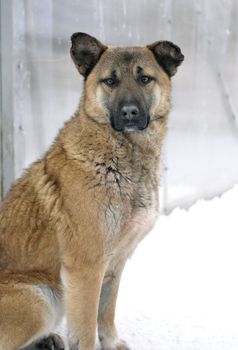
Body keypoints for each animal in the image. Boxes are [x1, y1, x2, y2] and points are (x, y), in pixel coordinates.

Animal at [0, 33, 184, 350]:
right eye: (109, 81)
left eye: (145, 78)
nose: (129, 113)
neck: (120, 158)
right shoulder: (86, 269)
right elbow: (85, 328)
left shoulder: (114, 265)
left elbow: (105, 313)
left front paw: (111, 343)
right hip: (39, 299)